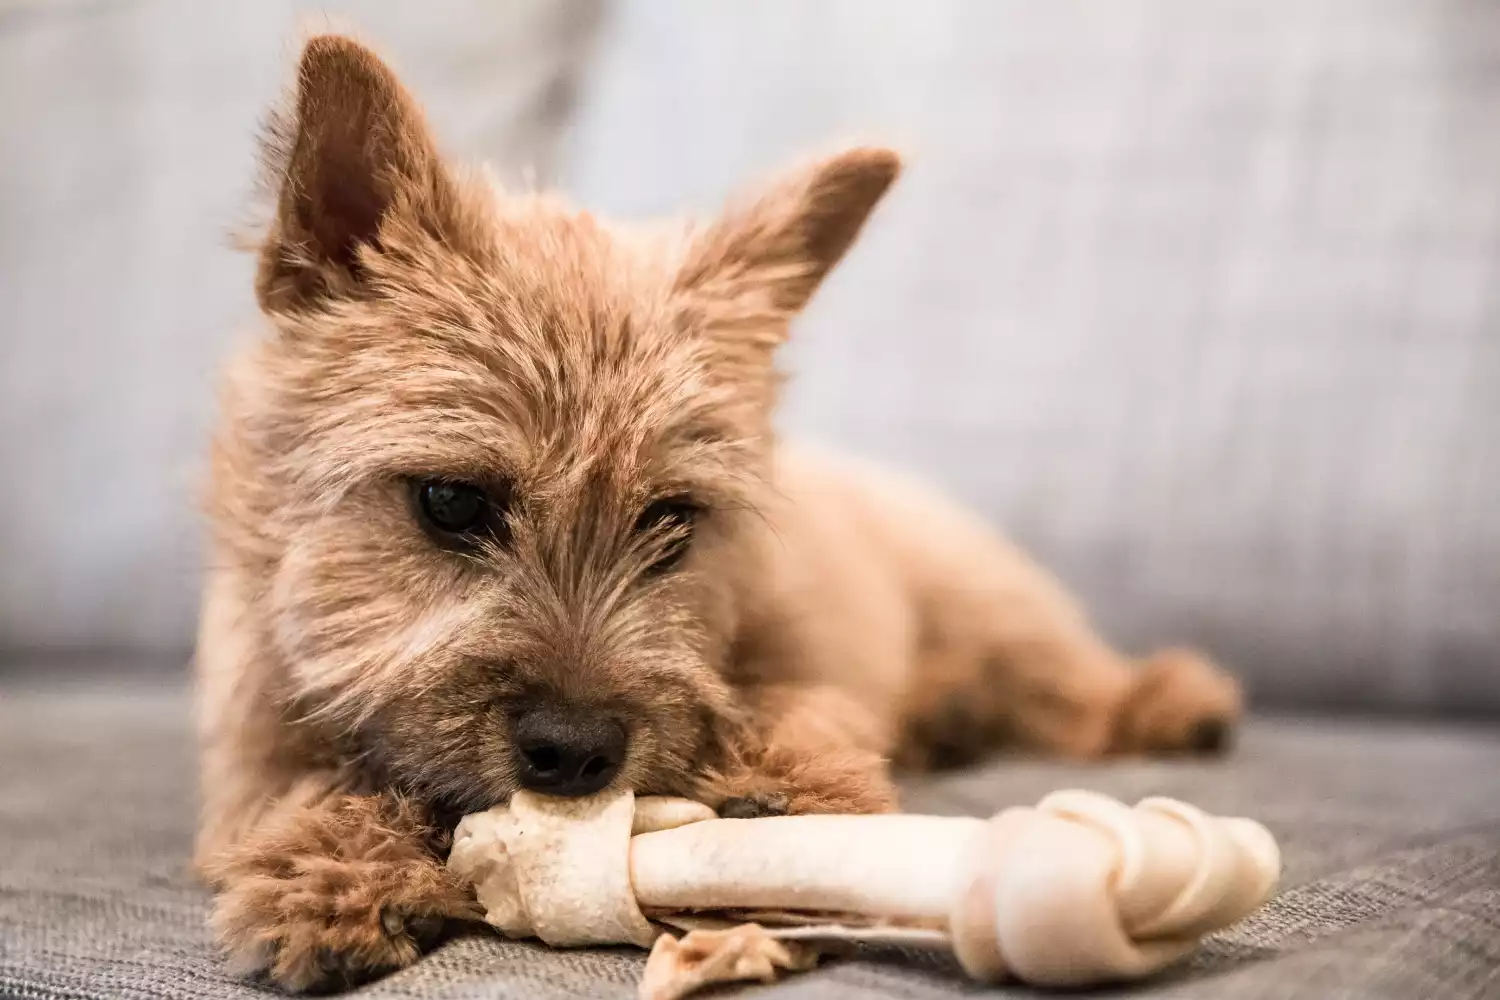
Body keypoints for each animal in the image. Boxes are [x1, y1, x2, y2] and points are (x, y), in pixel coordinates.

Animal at [199, 31, 1242, 995]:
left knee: (1067, 685)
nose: (575, 753)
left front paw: (786, 791)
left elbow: (809, 708)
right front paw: (329, 868)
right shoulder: (250, 737)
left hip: (994, 612)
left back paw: (1168, 701)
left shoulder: (814, 650)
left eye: (674, 518)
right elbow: (301, 782)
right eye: (451, 502)